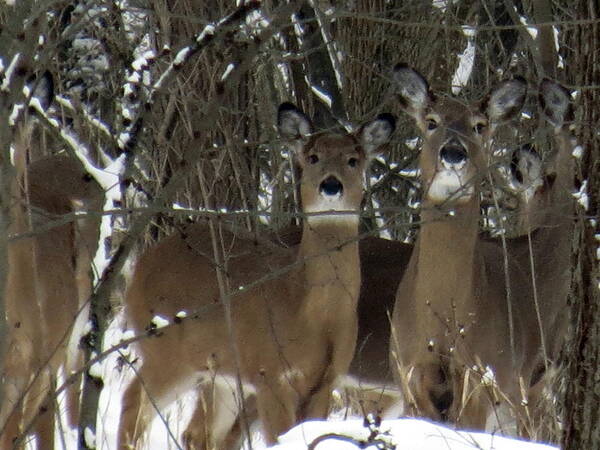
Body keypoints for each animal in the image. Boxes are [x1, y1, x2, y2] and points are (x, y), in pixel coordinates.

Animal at [117, 100, 398, 448]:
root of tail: (141, 264)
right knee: (133, 403)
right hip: (164, 349)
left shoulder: (324, 383)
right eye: (312, 157)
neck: (310, 312)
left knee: (200, 432)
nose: (331, 185)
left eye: (353, 159)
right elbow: (281, 438)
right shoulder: (270, 374)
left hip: (217, 372)